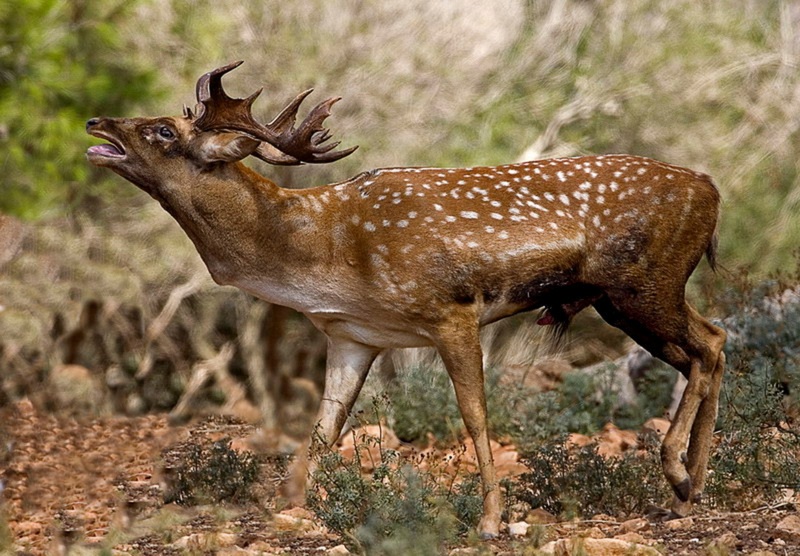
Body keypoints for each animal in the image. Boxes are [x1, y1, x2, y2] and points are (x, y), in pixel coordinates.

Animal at [87, 60, 724, 540]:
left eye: (164, 132)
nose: (97, 124)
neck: (321, 252)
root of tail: (711, 190)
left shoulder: (451, 311)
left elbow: (474, 416)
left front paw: (490, 520)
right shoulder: (352, 336)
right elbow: (325, 428)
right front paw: (293, 507)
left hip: (642, 287)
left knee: (708, 344)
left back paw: (678, 474)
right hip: (628, 297)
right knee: (713, 341)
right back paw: (690, 486)